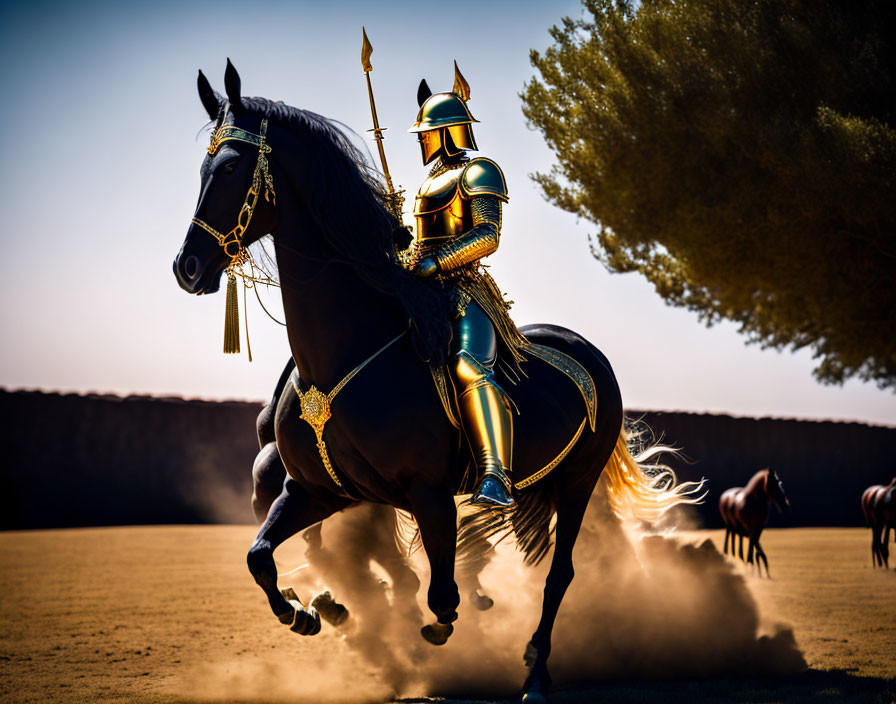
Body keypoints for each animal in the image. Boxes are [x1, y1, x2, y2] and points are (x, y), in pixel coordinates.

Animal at [170, 63, 700, 700]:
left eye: (229, 169)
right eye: (203, 169)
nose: (187, 267)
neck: (345, 353)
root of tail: (589, 354)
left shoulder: (426, 492)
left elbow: (440, 591)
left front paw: (424, 624)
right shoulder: (316, 490)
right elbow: (260, 555)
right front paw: (303, 612)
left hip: (577, 482)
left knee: (560, 573)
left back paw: (535, 670)